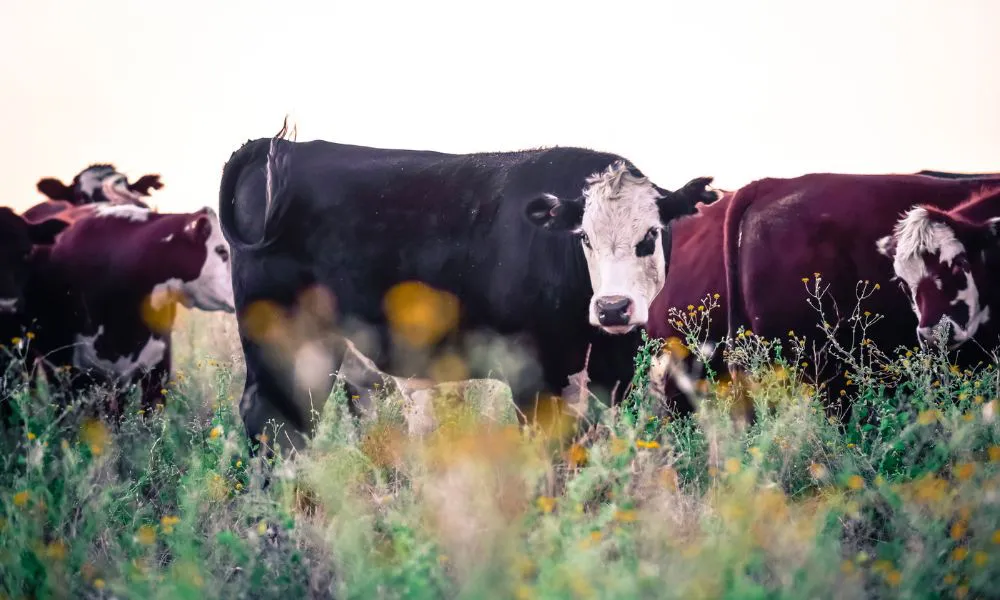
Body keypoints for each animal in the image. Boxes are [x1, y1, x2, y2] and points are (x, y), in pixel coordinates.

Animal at [218, 121, 721, 451]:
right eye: (585, 238)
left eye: (650, 235)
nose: (613, 308)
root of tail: (274, 148)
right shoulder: (532, 374)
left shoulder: (613, 371)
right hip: (283, 336)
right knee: (271, 417)